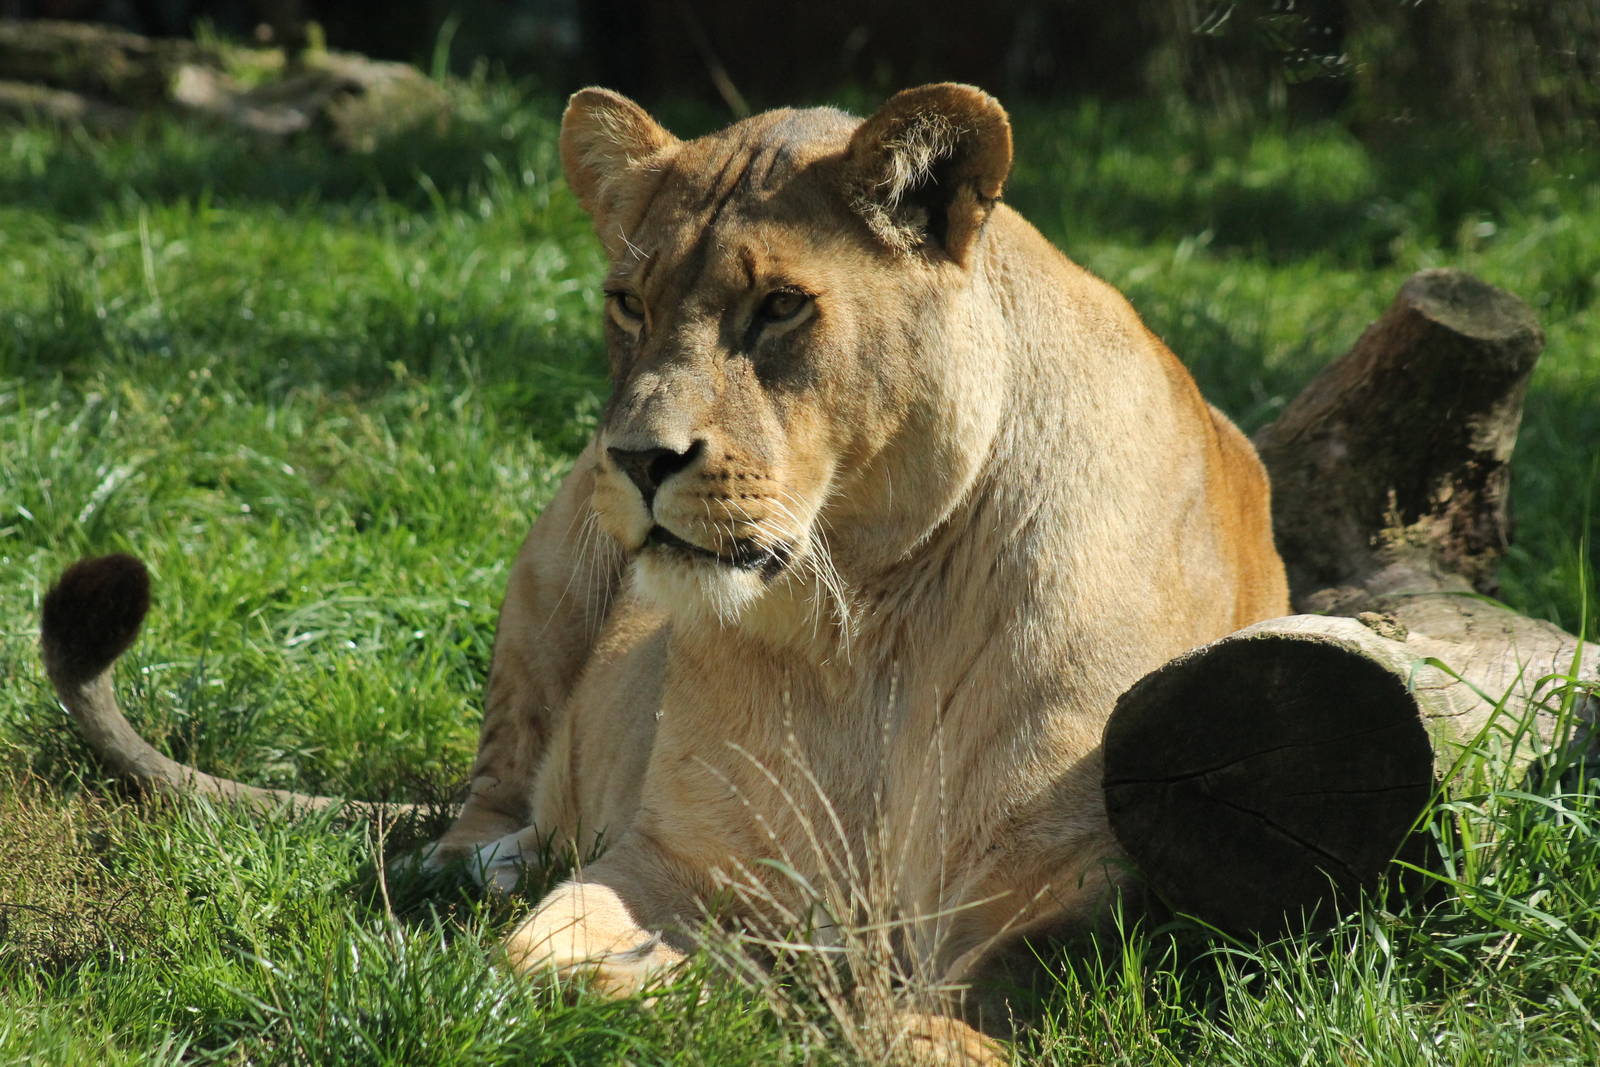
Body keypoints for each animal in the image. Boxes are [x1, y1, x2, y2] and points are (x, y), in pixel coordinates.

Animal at [42, 84, 1287, 1063]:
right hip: (547, 573)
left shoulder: (1063, 906)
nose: (638, 458)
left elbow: (948, 1013)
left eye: (779, 305)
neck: (871, 609)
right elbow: (557, 955)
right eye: (627, 302)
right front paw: (691, 981)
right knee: (488, 795)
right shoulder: (677, 853)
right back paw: (481, 865)